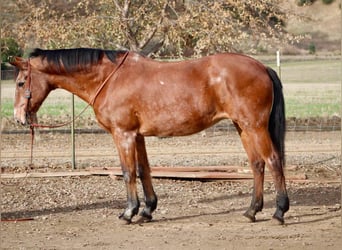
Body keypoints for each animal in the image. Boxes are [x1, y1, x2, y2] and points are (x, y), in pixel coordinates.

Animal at [10, 47, 288, 224]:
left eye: (21, 83)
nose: (18, 117)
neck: (110, 79)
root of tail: (262, 67)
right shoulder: (138, 136)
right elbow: (144, 170)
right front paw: (147, 210)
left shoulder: (123, 134)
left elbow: (128, 172)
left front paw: (129, 212)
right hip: (243, 127)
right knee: (257, 164)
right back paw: (252, 211)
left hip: (254, 126)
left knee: (273, 161)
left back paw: (279, 211)